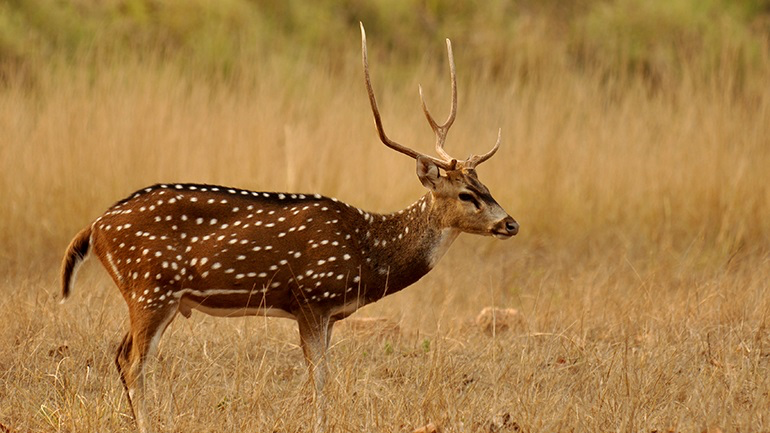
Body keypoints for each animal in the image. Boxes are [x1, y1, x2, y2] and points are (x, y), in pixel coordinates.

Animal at [60, 24, 516, 432]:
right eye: (466, 195)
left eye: (486, 185)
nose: (510, 223)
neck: (368, 252)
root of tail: (94, 227)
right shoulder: (312, 298)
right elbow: (320, 378)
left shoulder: (329, 314)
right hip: (150, 288)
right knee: (134, 361)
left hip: (151, 295)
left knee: (120, 353)